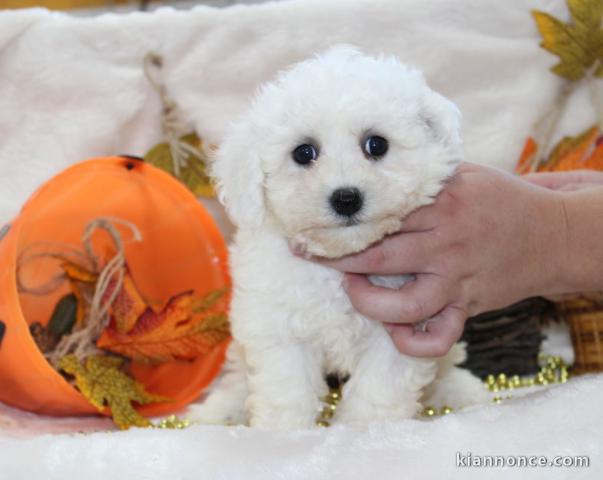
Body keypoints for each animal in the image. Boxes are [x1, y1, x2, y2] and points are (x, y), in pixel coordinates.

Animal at [191, 45, 488, 428]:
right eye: (304, 152)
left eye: (376, 145)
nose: (346, 198)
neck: (338, 263)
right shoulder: (276, 323)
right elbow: (286, 388)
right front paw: (283, 432)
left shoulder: (405, 329)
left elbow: (378, 389)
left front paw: (363, 429)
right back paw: (220, 411)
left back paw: (462, 391)